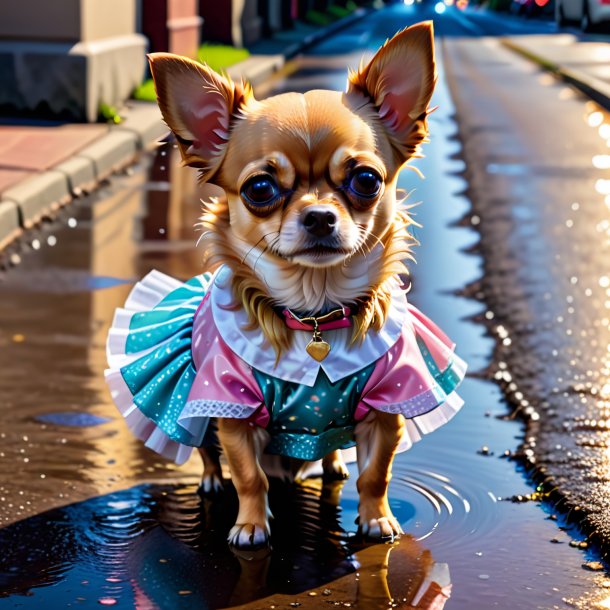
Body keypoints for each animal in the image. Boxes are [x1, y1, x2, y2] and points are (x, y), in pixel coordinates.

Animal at [105, 21, 466, 548]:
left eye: (366, 180)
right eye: (260, 189)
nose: (318, 216)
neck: (314, 310)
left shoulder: (387, 404)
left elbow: (376, 474)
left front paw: (376, 519)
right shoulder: (231, 408)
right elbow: (249, 475)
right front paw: (251, 525)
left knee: (335, 451)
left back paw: (333, 466)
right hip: (191, 404)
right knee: (207, 450)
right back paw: (212, 481)